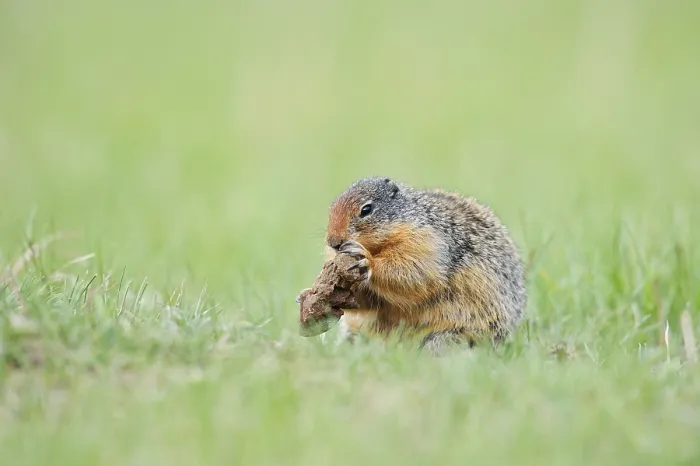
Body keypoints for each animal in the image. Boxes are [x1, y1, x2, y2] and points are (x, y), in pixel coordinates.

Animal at [322, 177, 526, 355]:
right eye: (331, 207)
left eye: (366, 209)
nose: (333, 242)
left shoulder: (425, 241)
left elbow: (414, 270)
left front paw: (366, 261)